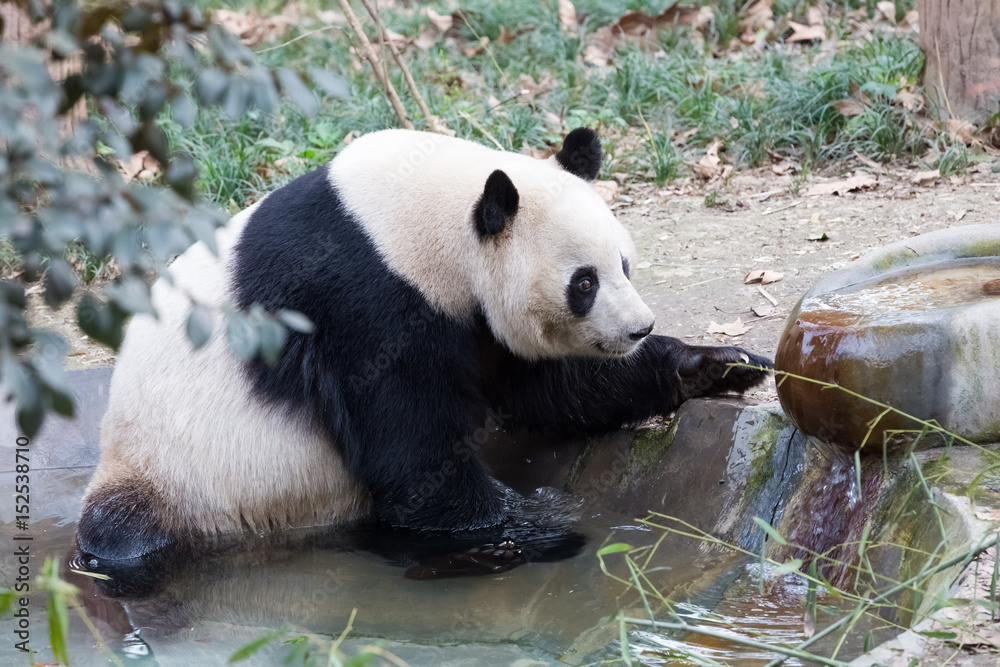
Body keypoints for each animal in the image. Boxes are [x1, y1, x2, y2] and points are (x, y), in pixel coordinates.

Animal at [76, 128, 772, 576]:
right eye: (584, 283)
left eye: (624, 264)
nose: (637, 329)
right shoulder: (363, 302)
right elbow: (413, 446)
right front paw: (517, 532)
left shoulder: (471, 317)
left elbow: (547, 388)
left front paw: (719, 366)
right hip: (173, 471)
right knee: (126, 538)